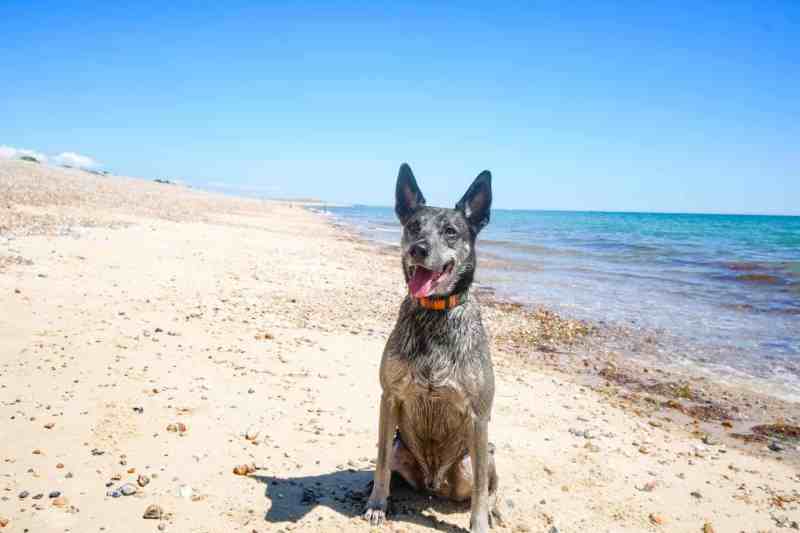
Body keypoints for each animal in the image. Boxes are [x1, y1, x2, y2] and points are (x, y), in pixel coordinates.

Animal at [366, 163, 496, 532]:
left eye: (451, 231)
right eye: (413, 227)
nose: (418, 249)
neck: (435, 313)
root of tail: (433, 484)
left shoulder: (479, 417)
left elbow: (481, 490)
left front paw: (479, 523)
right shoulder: (389, 399)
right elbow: (381, 462)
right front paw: (377, 504)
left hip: (482, 454)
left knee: (488, 486)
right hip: (401, 446)